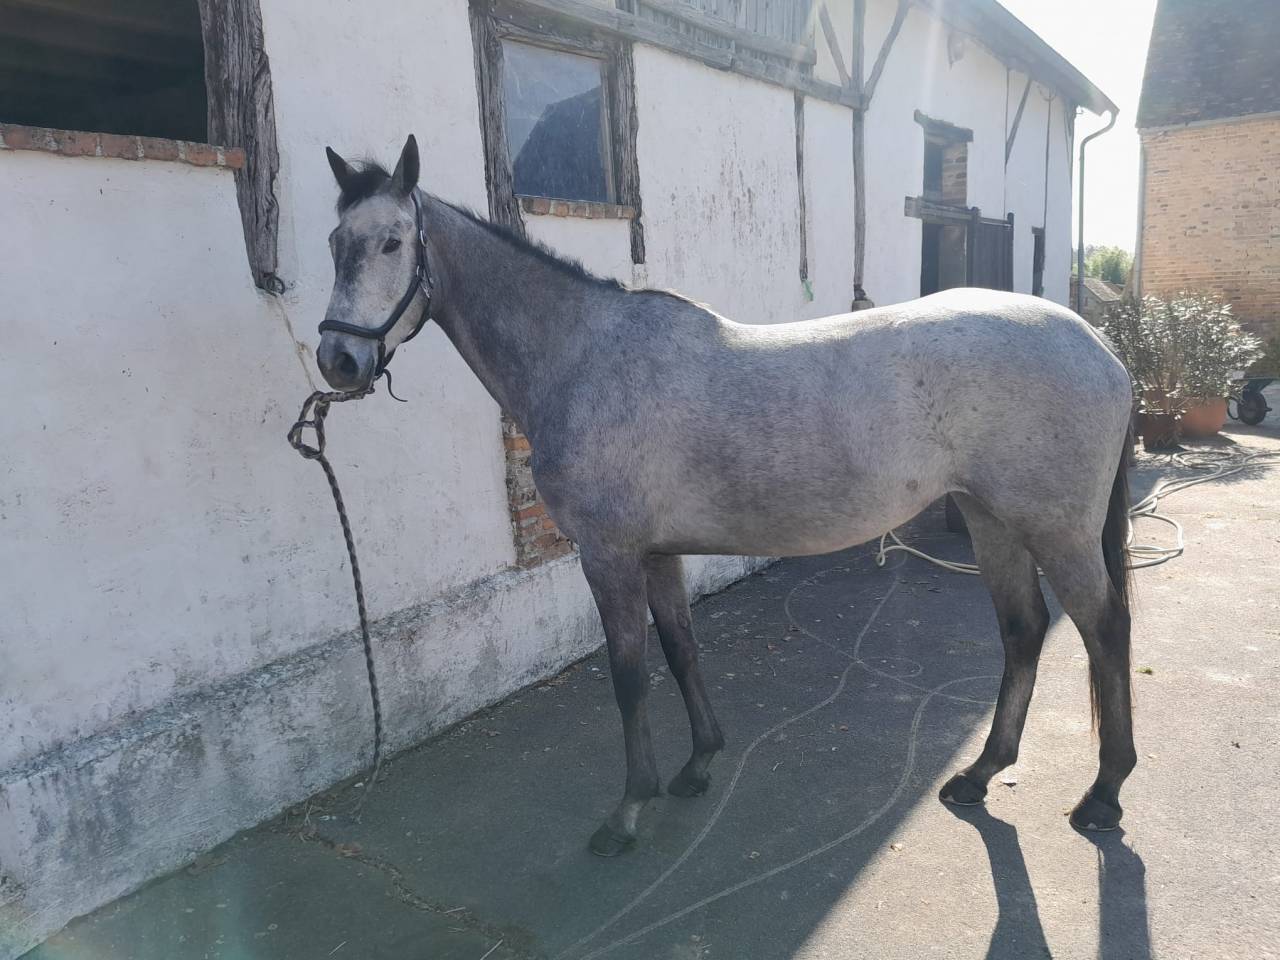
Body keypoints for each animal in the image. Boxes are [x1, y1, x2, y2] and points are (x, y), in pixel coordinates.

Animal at [316, 135, 1136, 856]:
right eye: (334, 242)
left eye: (392, 243)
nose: (337, 359)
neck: (583, 357)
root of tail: (1099, 347)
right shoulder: (657, 554)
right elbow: (681, 649)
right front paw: (698, 763)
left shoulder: (608, 556)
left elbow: (628, 675)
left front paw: (627, 811)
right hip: (992, 519)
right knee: (1023, 630)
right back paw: (979, 775)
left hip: (1056, 530)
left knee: (1103, 629)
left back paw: (1102, 793)